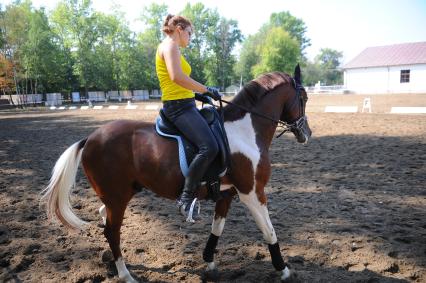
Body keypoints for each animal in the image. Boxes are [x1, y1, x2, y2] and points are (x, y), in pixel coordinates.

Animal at [41, 65, 312, 282]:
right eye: (304, 97)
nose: (307, 133)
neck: (245, 132)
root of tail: (90, 138)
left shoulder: (227, 194)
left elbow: (217, 229)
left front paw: (209, 262)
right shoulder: (252, 193)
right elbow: (269, 231)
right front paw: (284, 270)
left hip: (120, 194)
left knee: (103, 217)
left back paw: (109, 260)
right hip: (118, 199)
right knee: (112, 231)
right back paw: (125, 274)